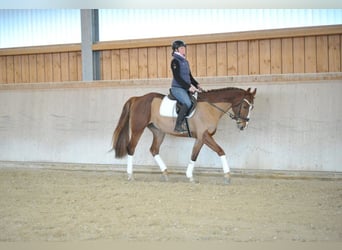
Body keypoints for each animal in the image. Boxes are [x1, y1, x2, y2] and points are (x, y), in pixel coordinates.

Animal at [111, 87, 256, 184]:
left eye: (252, 107)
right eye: (244, 106)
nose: (243, 126)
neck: (210, 108)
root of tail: (137, 98)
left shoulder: (201, 138)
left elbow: (194, 155)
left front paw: (190, 176)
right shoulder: (205, 136)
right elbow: (220, 151)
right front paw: (227, 176)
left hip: (159, 132)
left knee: (154, 150)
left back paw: (165, 173)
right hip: (138, 128)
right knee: (131, 148)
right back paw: (130, 175)